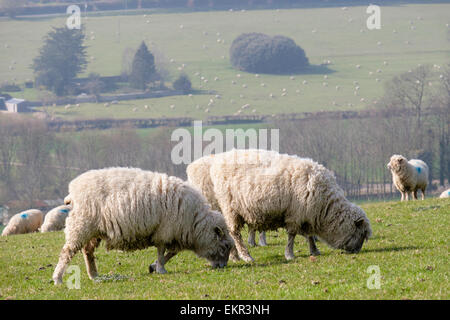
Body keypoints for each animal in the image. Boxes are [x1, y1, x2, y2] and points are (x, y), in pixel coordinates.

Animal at [54, 168, 234, 284]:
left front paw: (154, 266)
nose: (223, 267)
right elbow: (162, 251)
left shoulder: (175, 233)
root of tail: (72, 192)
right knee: (67, 252)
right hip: (80, 225)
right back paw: (58, 278)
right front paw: (161, 268)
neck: (195, 222)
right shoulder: (166, 230)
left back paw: (94, 275)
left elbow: (172, 252)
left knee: (87, 252)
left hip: (94, 231)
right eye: (225, 246)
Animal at [187, 150, 372, 262]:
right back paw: (245, 256)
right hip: (230, 207)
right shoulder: (295, 214)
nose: (357, 251)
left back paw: (235, 256)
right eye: (361, 233)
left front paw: (314, 251)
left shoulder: (306, 214)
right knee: (234, 233)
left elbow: (309, 235)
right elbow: (292, 235)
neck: (325, 207)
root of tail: (217, 162)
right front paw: (289, 254)